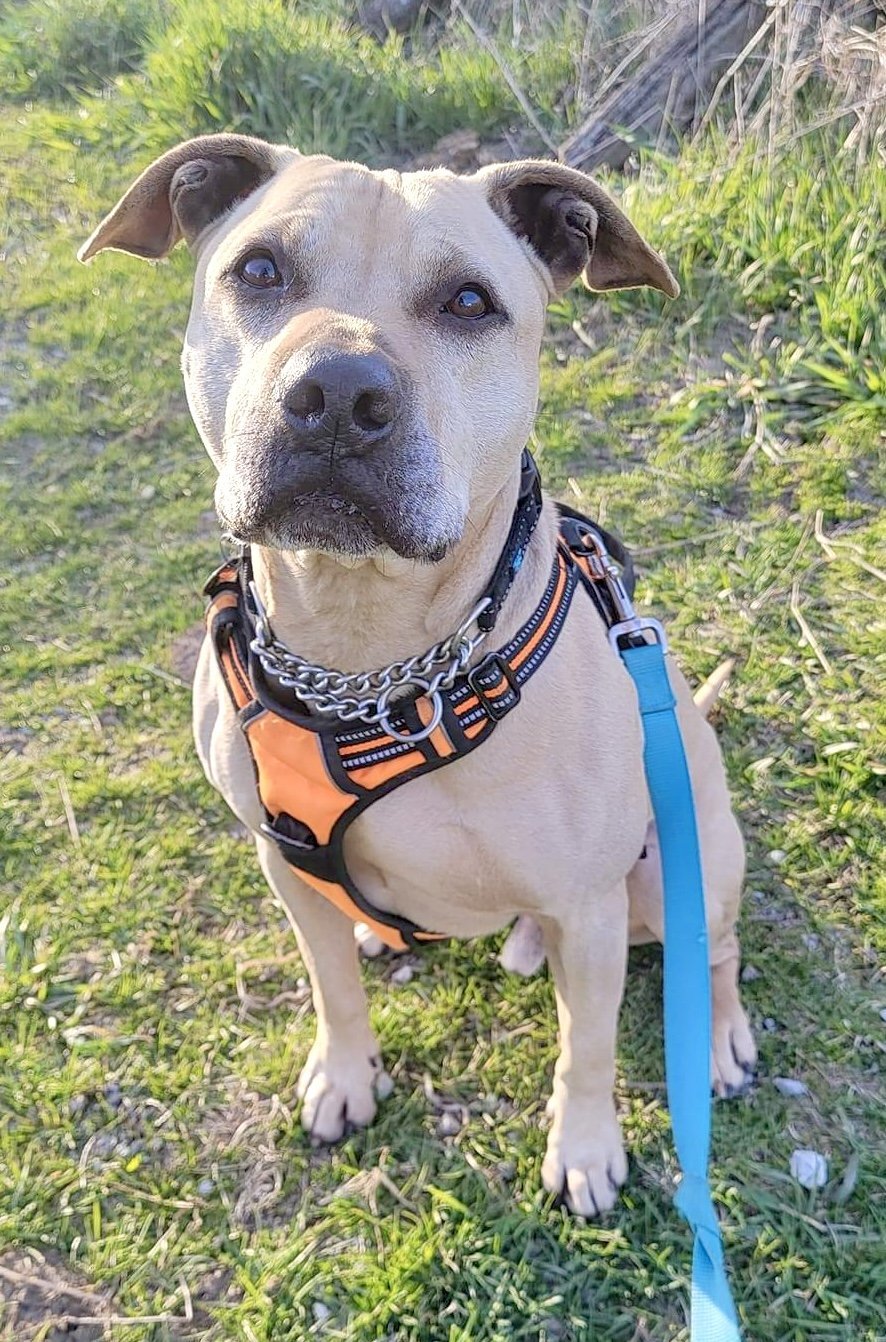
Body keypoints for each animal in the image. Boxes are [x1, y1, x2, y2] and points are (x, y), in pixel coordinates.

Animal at [79, 136, 757, 1218]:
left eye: (470, 302)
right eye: (259, 269)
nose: (337, 396)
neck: (369, 661)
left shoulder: (590, 908)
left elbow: (588, 1046)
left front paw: (585, 1146)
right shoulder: (281, 862)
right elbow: (331, 988)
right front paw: (345, 1073)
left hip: (682, 869)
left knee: (714, 951)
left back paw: (721, 1036)